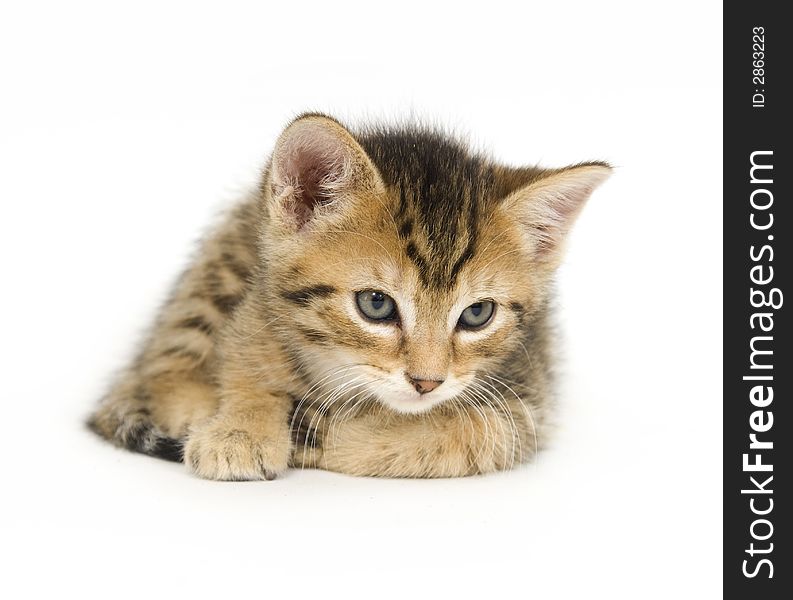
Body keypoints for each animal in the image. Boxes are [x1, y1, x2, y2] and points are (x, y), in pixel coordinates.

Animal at [86, 112, 608, 478]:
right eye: (375, 305)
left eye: (477, 313)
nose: (427, 383)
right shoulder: (256, 310)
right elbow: (247, 363)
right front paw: (243, 426)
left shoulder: (523, 403)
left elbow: (452, 438)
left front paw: (312, 434)